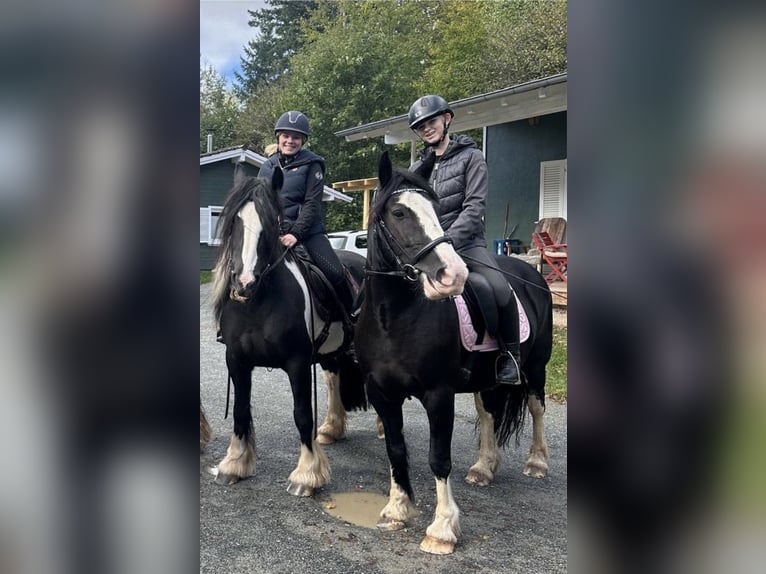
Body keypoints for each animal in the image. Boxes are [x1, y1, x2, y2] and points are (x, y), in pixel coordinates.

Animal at [208, 169, 368, 498]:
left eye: (271, 224)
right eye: (234, 222)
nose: (244, 283)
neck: (258, 304)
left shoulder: (297, 363)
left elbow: (302, 414)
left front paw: (306, 475)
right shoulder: (236, 360)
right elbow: (241, 409)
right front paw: (234, 465)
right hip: (332, 352)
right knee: (333, 380)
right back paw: (331, 429)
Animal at [356, 152, 556, 552]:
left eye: (435, 209)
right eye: (399, 212)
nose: (452, 275)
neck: (394, 318)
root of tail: (532, 275)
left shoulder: (439, 394)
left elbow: (439, 459)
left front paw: (441, 529)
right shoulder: (381, 392)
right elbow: (396, 449)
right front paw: (397, 510)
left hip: (536, 367)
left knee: (536, 408)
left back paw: (537, 463)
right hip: (488, 378)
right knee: (489, 412)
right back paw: (483, 468)